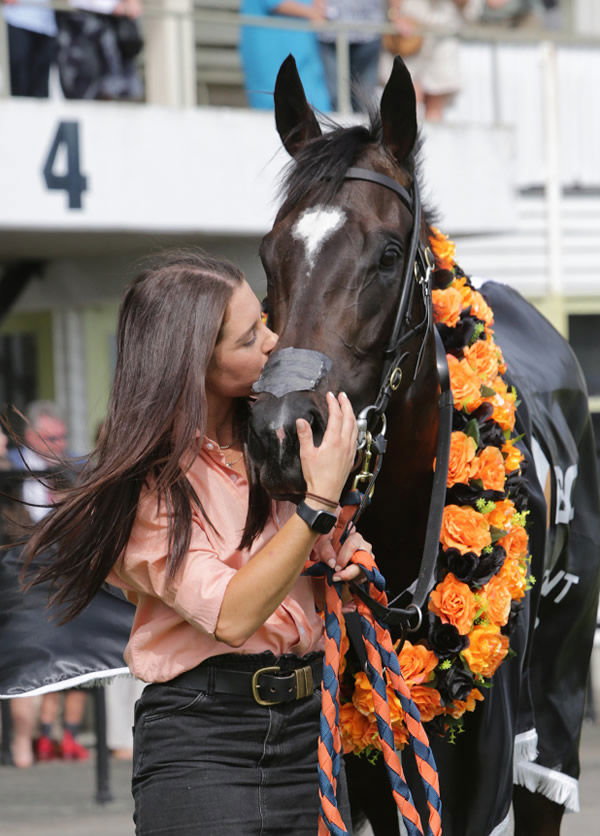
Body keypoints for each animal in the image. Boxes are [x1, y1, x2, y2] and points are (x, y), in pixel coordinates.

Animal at [245, 54, 600, 836]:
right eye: (269, 253)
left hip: (557, 693)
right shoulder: (354, 754)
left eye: (385, 254)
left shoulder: (484, 767)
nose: (283, 433)